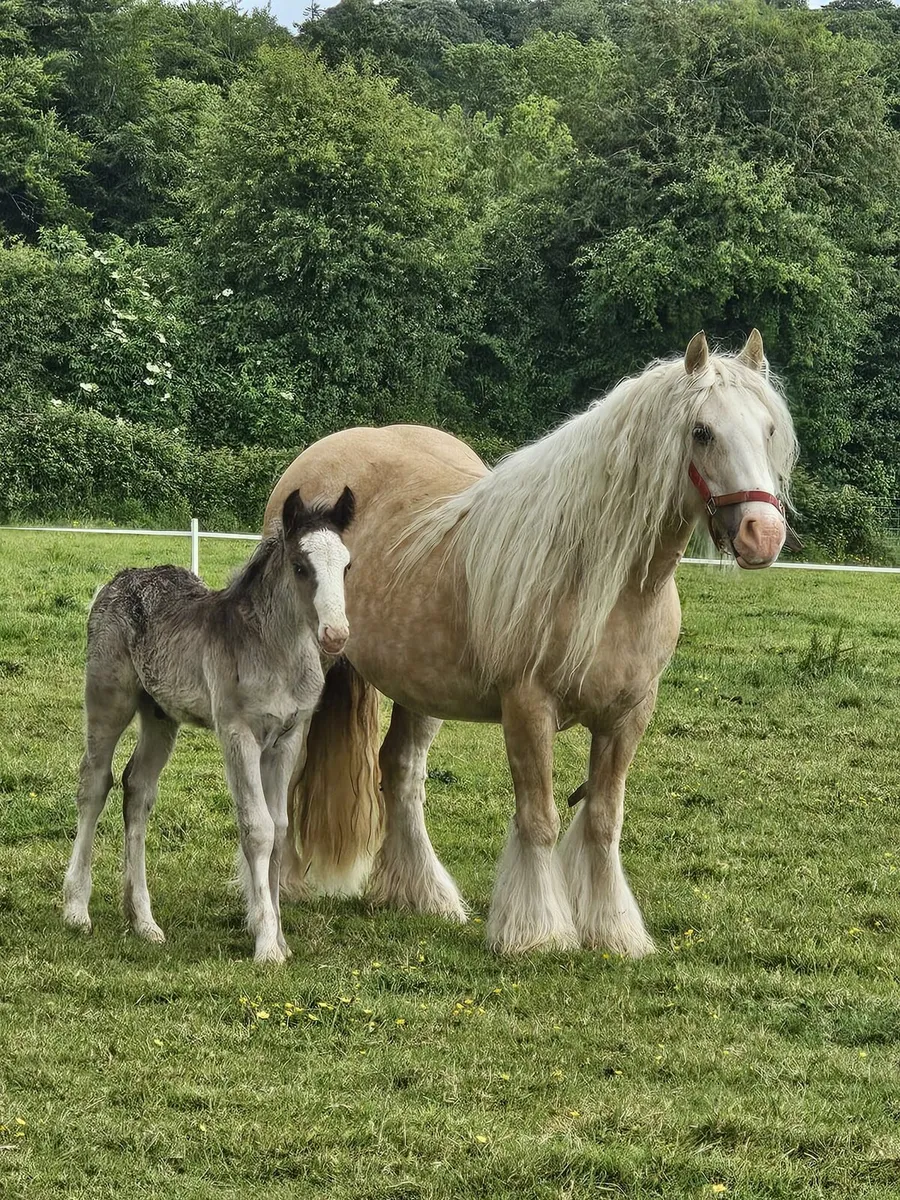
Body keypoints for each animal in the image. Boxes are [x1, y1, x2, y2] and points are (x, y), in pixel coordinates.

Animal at [62, 487, 355, 962]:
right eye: (300, 566)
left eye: (347, 565)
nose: (336, 635)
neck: (277, 654)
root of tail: (114, 583)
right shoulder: (239, 734)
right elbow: (257, 829)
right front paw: (266, 945)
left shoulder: (287, 739)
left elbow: (281, 830)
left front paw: (278, 937)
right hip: (109, 699)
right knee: (94, 781)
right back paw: (76, 909)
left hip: (159, 716)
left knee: (137, 789)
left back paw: (143, 920)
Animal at [264, 330, 798, 955]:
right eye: (703, 431)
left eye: (768, 428)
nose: (763, 534)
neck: (603, 581)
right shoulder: (528, 708)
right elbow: (539, 818)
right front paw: (539, 932)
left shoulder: (628, 716)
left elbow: (603, 819)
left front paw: (613, 930)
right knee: (290, 770)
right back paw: (286, 884)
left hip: (420, 689)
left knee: (399, 772)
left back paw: (424, 896)